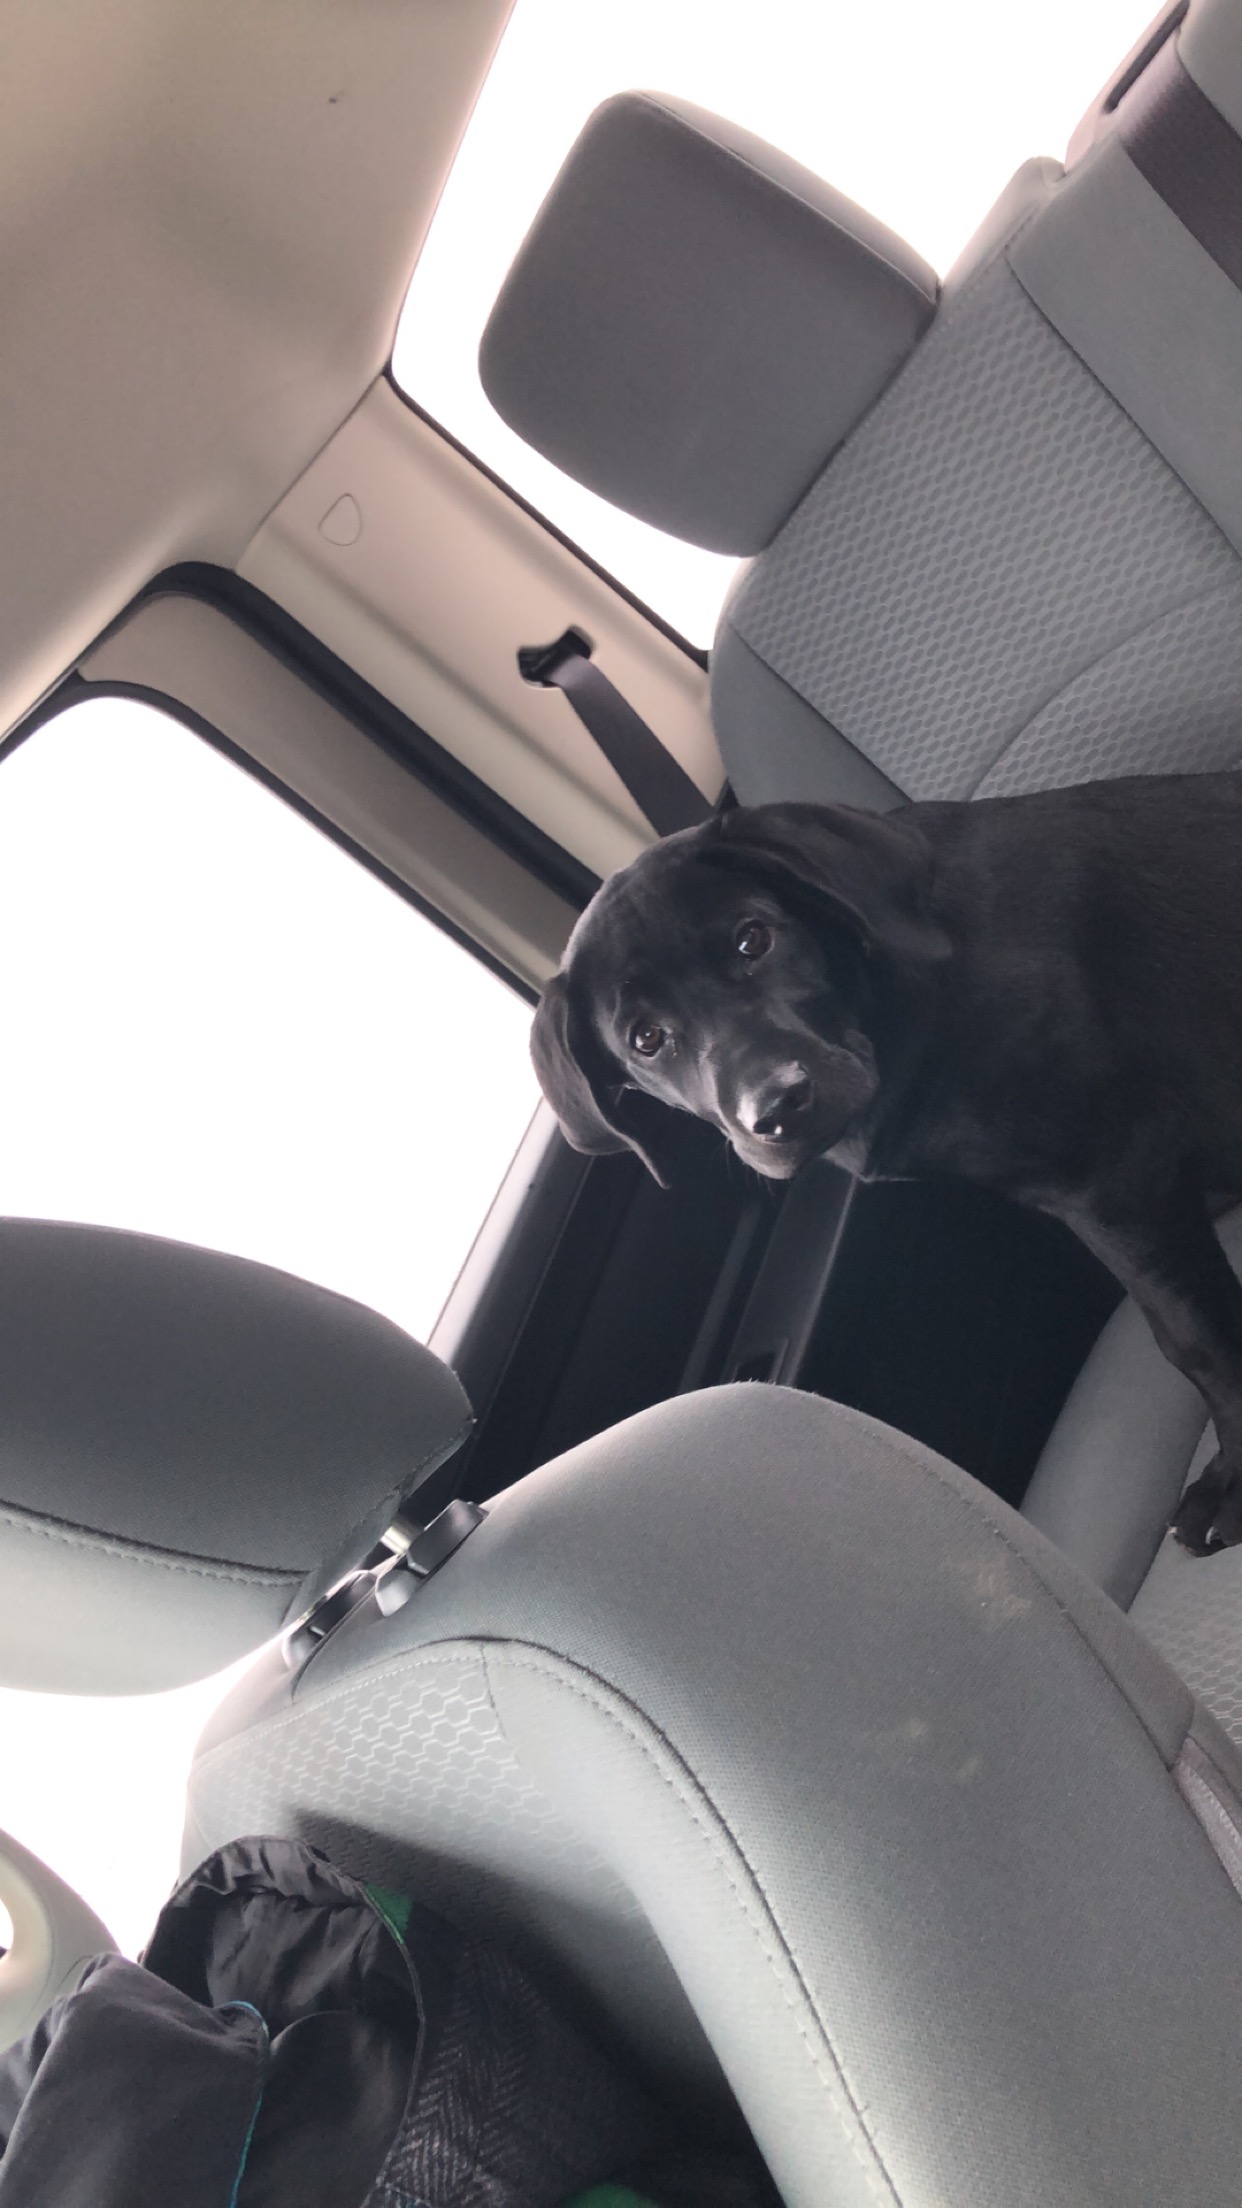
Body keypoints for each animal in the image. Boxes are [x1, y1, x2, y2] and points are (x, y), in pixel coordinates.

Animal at [532, 774, 1242, 1555]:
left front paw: (1231, 1483)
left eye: (754, 939)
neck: (904, 993)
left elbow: (1197, 1339)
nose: (777, 1108)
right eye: (646, 1039)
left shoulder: (1119, 1179)